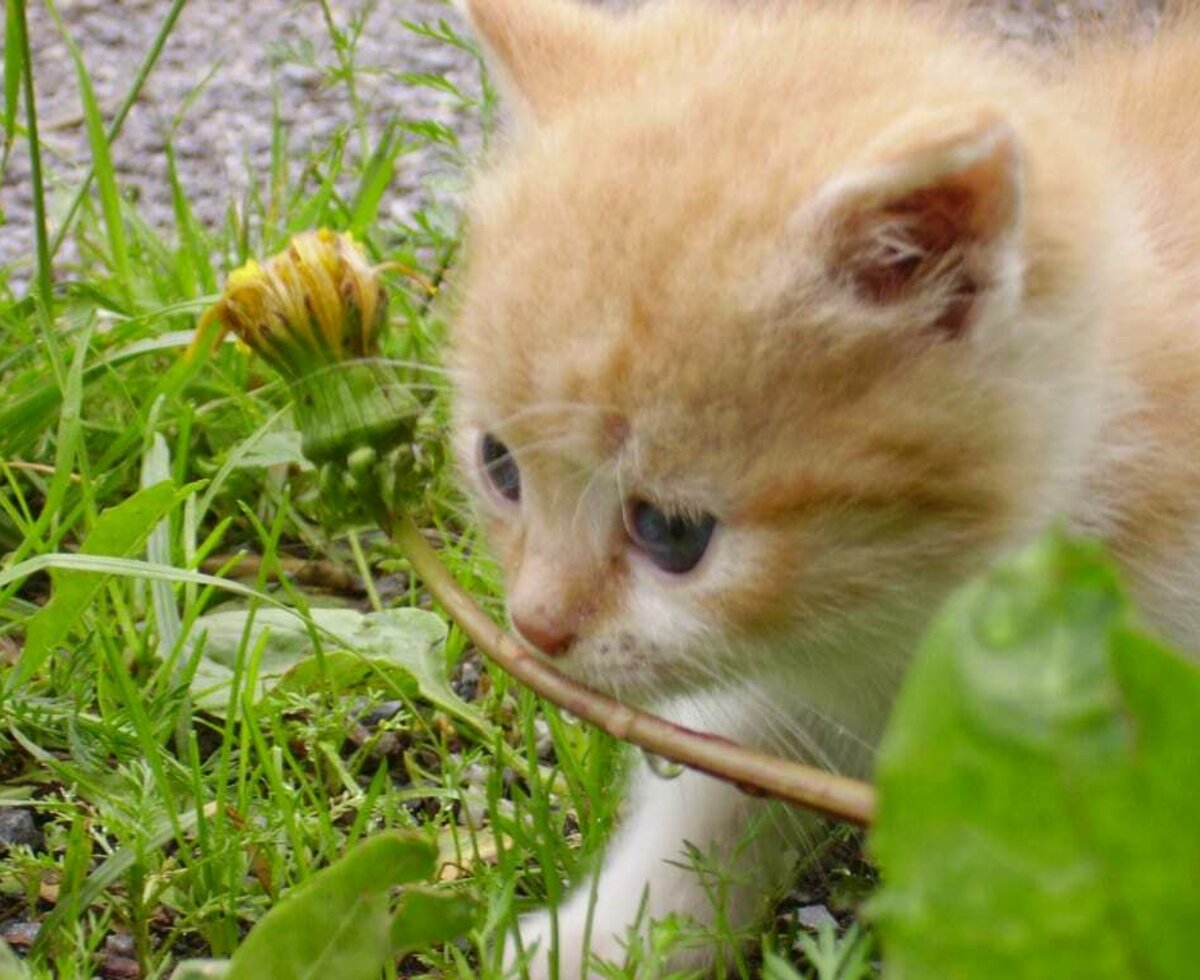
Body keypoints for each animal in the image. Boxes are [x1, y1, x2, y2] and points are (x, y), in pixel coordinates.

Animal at [448, 0, 1200, 969]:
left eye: (673, 533)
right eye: (499, 466)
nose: (536, 628)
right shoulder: (793, 693)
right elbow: (716, 801)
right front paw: (604, 941)